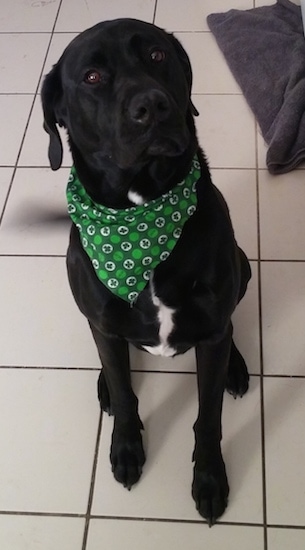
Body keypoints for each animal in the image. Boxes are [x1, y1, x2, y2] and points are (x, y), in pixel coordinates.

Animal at [41, 17, 249, 528]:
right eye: (92, 77)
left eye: (157, 55)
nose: (151, 105)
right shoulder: (102, 320)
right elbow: (124, 391)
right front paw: (126, 447)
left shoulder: (211, 329)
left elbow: (208, 416)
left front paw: (209, 479)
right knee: (109, 358)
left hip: (243, 267)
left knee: (231, 328)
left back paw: (235, 366)